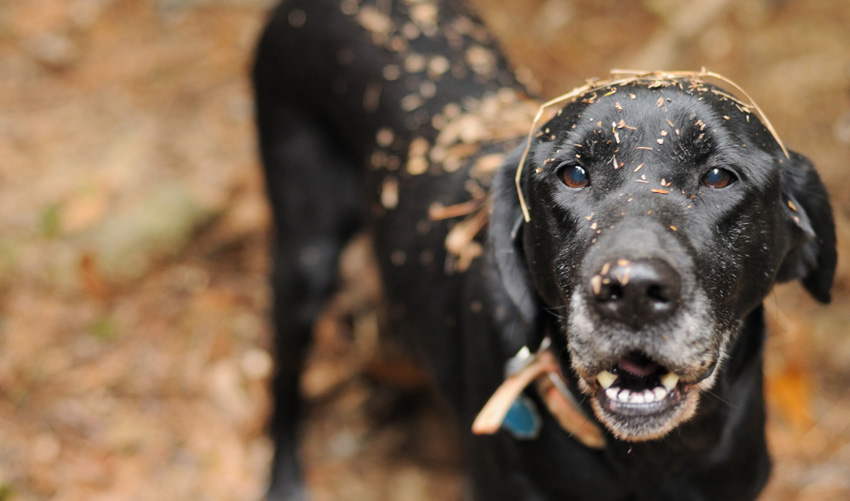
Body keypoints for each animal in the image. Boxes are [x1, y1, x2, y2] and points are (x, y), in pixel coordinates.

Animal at [252, 1, 836, 498]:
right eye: (572, 174)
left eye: (718, 177)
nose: (631, 292)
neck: (650, 463)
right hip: (305, 257)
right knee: (283, 381)